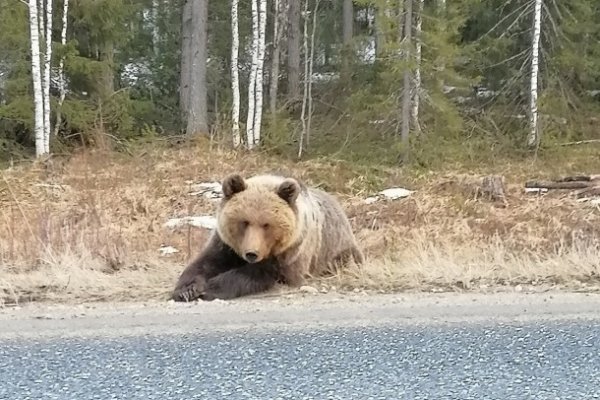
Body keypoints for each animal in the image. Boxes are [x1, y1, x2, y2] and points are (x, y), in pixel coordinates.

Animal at [171, 173, 364, 302]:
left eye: (266, 224)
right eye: (245, 221)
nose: (251, 253)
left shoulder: (293, 252)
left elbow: (262, 274)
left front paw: (209, 288)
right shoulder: (226, 244)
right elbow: (204, 262)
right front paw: (186, 290)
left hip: (339, 250)